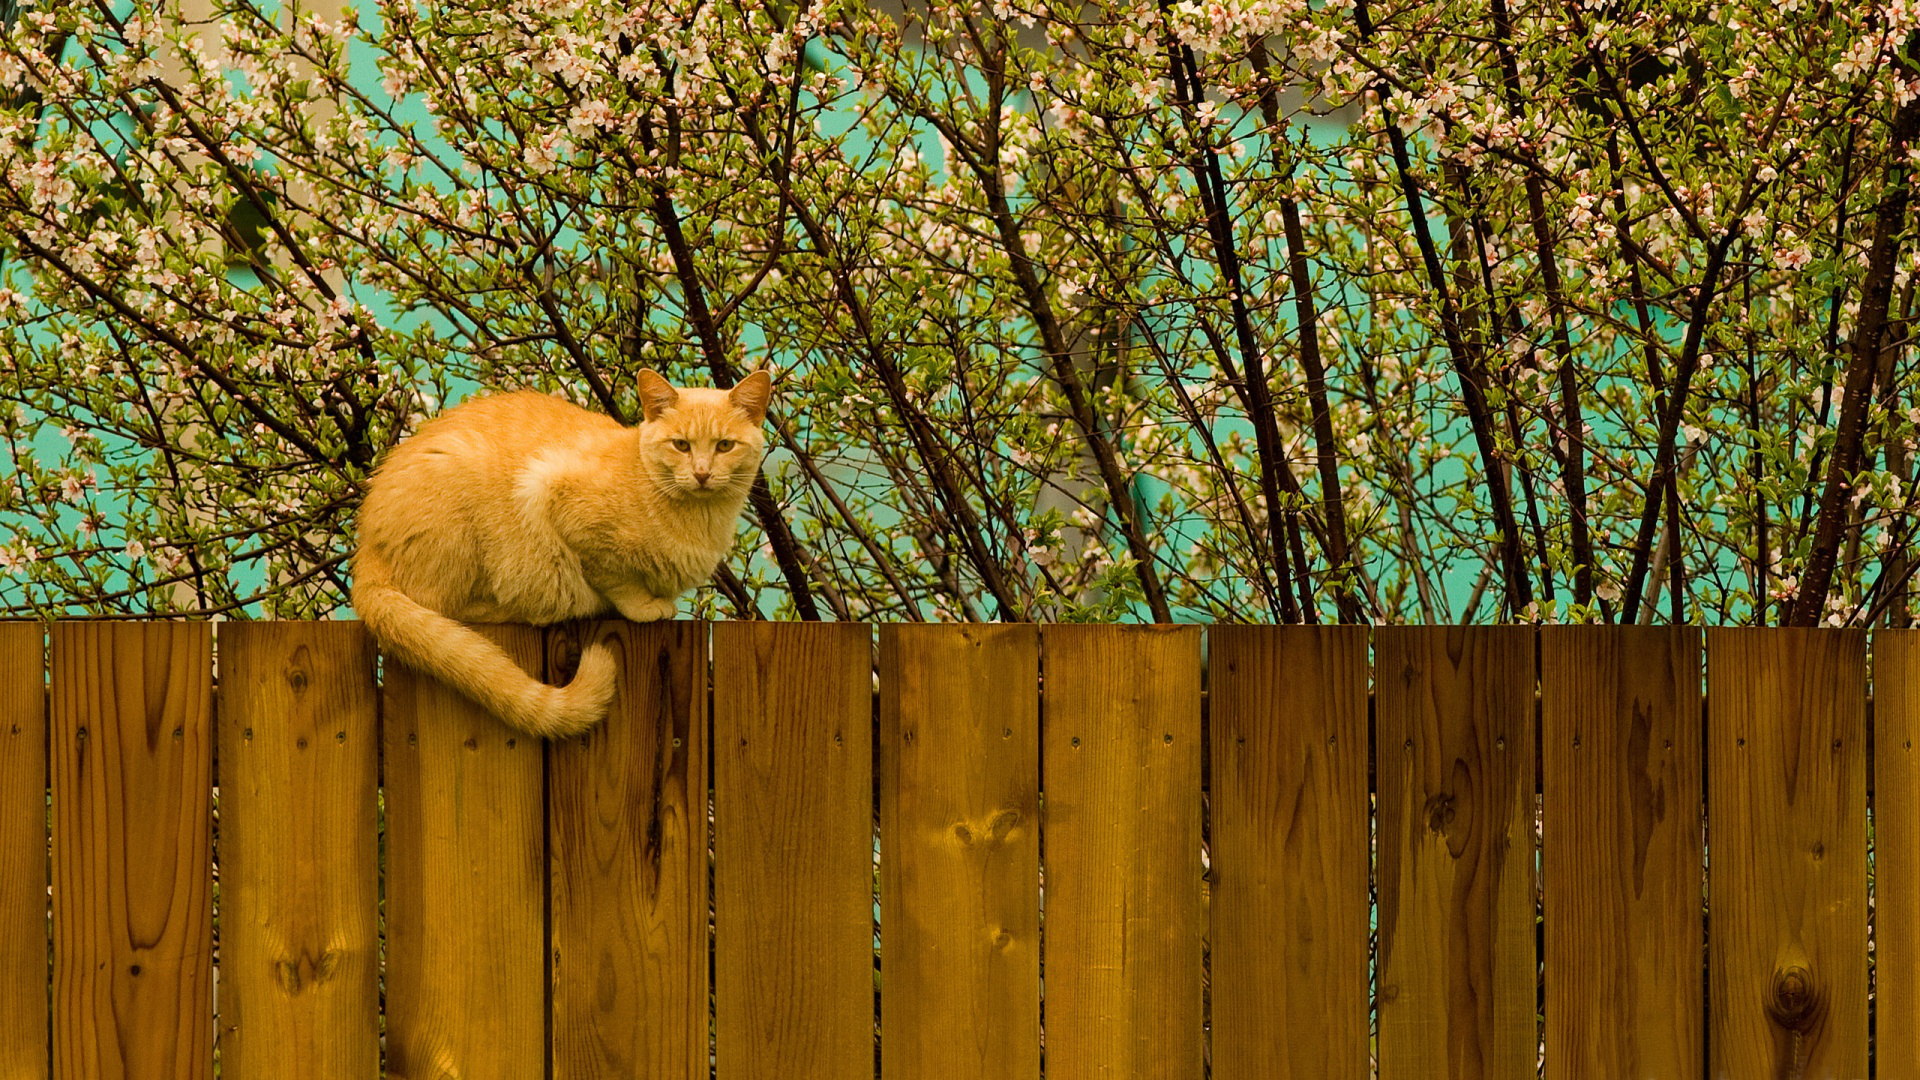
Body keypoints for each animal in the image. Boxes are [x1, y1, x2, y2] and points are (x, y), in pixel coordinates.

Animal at [349, 367, 768, 730]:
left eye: (725, 446)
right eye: (681, 445)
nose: (701, 473)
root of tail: (365, 545)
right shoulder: (554, 496)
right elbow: (616, 579)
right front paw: (644, 606)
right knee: (441, 605)